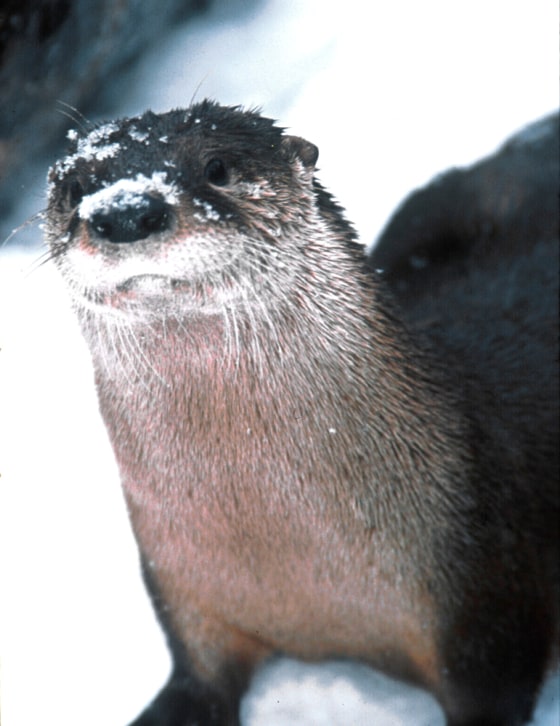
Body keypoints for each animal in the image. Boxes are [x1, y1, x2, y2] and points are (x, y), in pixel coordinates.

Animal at [44, 101, 558, 726]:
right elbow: (196, 677)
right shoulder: (181, 591)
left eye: (217, 167)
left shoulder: (485, 615)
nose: (123, 212)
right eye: (75, 188)